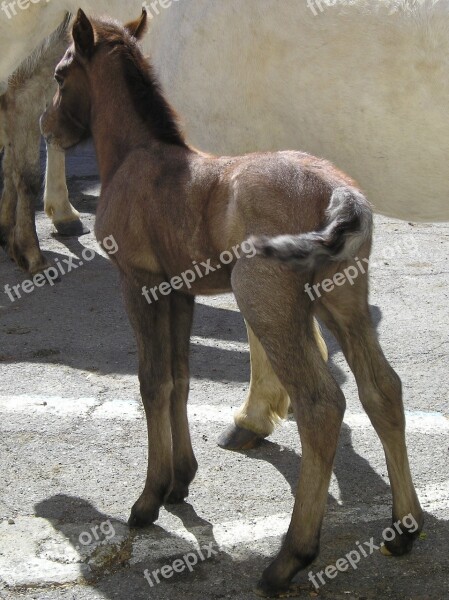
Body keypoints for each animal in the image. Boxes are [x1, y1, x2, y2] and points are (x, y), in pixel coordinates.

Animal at [40, 9, 422, 596]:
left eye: (61, 74)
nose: (49, 127)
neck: (135, 157)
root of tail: (342, 193)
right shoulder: (178, 291)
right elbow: (180, 379)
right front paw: (180, 481)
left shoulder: (138, 285)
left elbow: (152, 383)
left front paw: (148, 500)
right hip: (342, 299)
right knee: (382, 388)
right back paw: (403, 530)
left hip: (267, 300)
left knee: (321, 405)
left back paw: (290, 558)